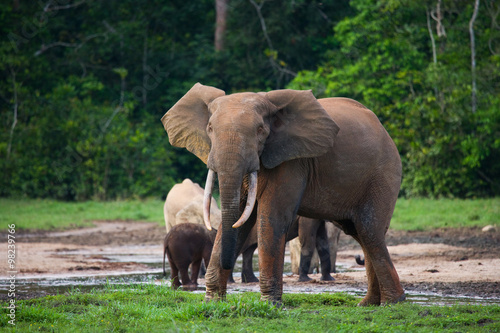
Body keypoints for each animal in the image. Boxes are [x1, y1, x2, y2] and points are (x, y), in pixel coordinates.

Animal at [162, 83, 404, 306]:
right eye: (210, 128)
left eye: (260, 130)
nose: (227, 266)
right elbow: (240, 218)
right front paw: (212, 301)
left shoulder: (292, 161)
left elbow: (272, 218)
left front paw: (270, 303)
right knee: (360, 233)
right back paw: (369, 303)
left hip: (384, 175)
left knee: (369, 231)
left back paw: (392, 302)